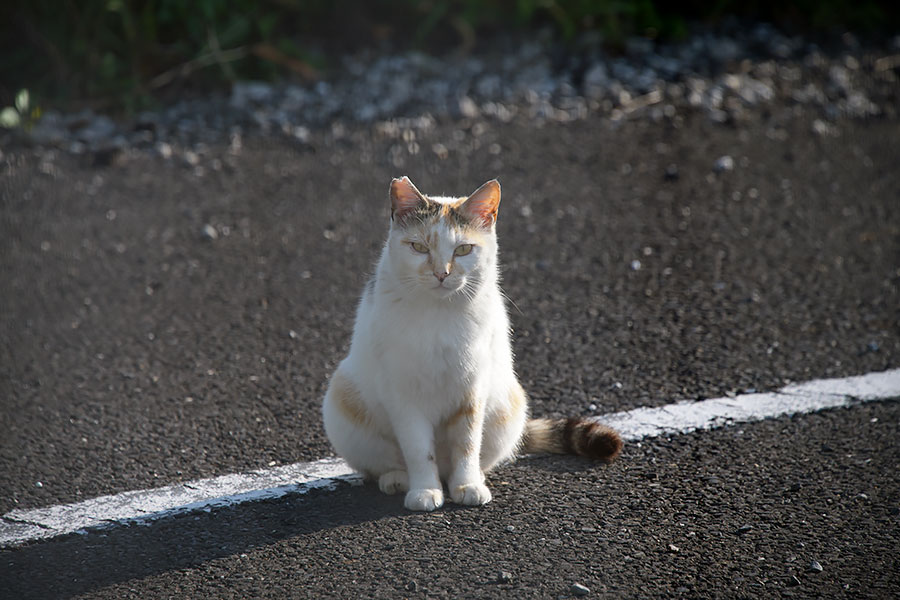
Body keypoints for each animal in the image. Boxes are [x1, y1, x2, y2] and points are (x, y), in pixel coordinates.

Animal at [320, 176, 624, 508]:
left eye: (464, 249)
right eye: (418, 247)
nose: (441, 274)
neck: (439, 314)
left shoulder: (472, 389)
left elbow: (466, 444)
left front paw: (467, 485)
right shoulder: (404, 396)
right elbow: (418, 450)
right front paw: (424, 490)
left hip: (509, 404)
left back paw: (469, 476)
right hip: (344, 400)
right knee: (383, 464)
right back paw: (397, 479)